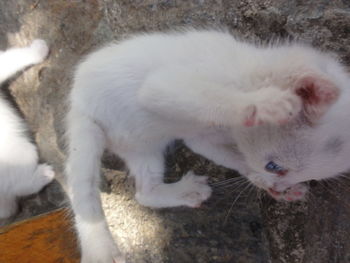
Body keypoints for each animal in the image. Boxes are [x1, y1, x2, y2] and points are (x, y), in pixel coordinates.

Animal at [65, 29, 348, 263]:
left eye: (310, 178)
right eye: (274, 166)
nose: (277, 187)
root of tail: (79, 100)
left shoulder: (201, 137)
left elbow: (235, 157)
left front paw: (282, 191)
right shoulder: (165, 85)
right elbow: (213, 97)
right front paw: (264, 103)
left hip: (142, 146)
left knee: (144, 193)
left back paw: (184, 192)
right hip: (95, 129)